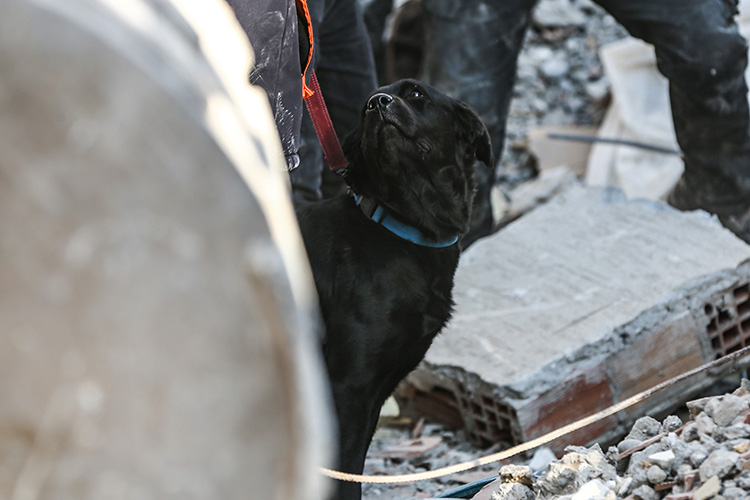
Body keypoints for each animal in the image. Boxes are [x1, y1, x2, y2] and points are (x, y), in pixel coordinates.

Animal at [296, 78, 496, 500]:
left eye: (417, 94)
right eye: (363, 110)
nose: (377, 103)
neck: (399, 228)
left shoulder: (375, 391)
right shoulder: (347, 387)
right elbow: (341, 475)